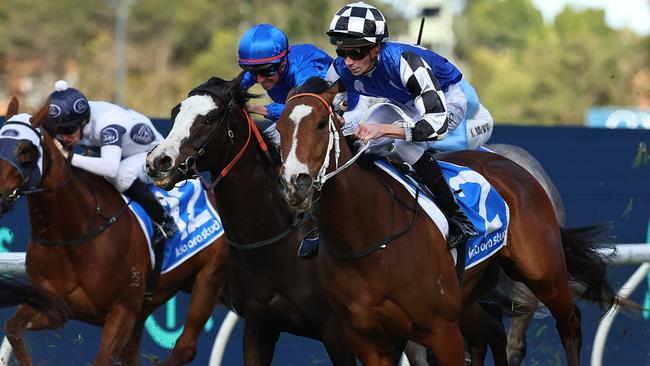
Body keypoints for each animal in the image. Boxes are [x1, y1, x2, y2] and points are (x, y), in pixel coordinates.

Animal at [0, 98, 230, 366]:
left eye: (26, 150)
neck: (74, 235)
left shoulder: (124, 310)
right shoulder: (56, 306)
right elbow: (14, 328)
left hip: (208, 278)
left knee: (185, 347)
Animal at [272, 80, 616, 366]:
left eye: (320, 124)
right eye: (279, 128)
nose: (295, 184)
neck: (367, 238)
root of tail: (514, 164)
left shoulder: (441, 329)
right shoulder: (368, 339)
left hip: (543, 272)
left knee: (570, 323)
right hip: (471, 294)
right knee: (494, 330)